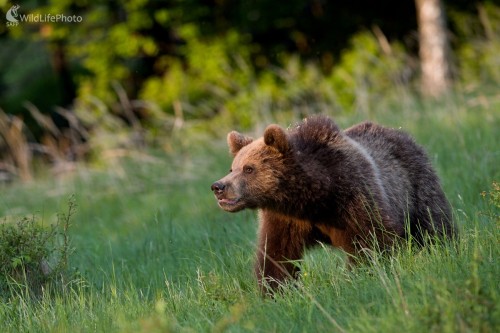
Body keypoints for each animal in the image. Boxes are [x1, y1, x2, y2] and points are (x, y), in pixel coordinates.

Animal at [210, 114, 454, 290]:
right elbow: (276, 254)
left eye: (248, 169)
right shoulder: (285, 218)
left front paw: (363, 274)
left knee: (433, 225)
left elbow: (372, 240)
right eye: (232, 168)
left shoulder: (354, 196)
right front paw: (276, 290)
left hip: (416, 186)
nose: (218, 187)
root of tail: (401, 134)